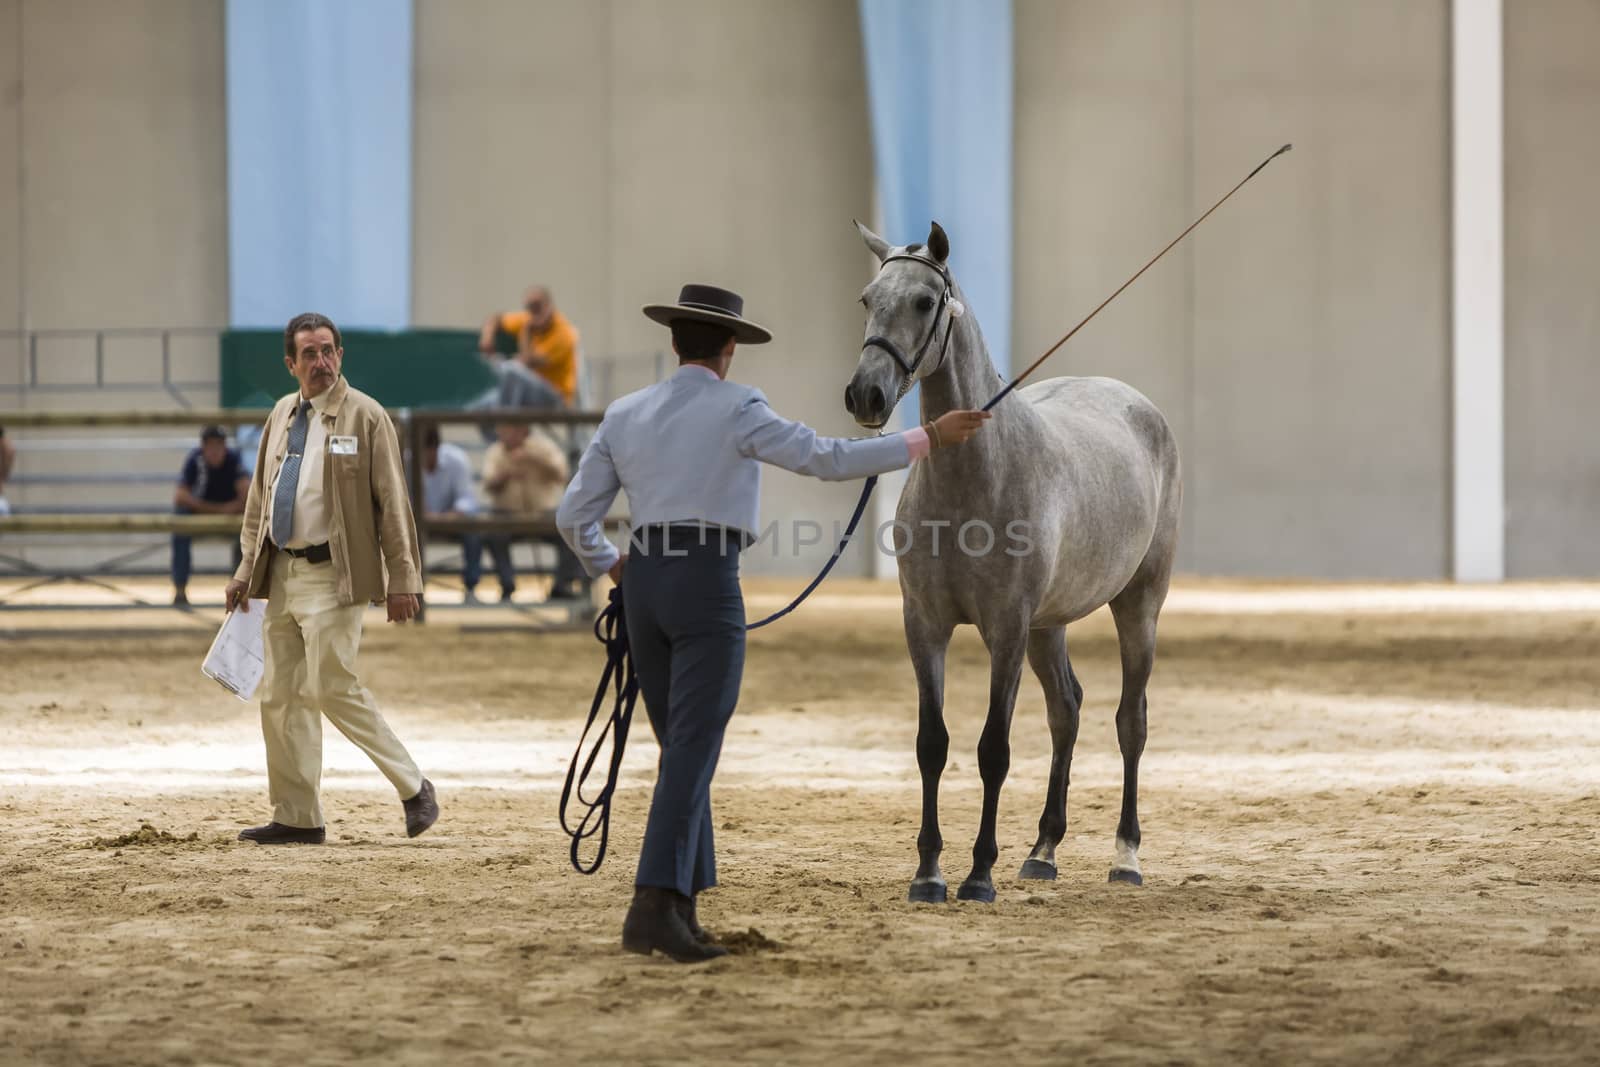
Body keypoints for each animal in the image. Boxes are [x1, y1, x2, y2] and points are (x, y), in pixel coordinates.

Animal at [844, 220, 1184, 908]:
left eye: (924, 301)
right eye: (868, 299)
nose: (866, 394)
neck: (974, 479)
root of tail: (1136, 403)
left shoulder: (1005, 630)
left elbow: (992, 750)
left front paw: (978, 875)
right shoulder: (925, 626)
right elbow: (932, 745)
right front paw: (928, 874)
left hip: (1137, 606)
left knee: (1129, 722)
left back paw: (1125, 856)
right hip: (1048, 626)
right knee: (1067, 711)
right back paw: (1042, 851)